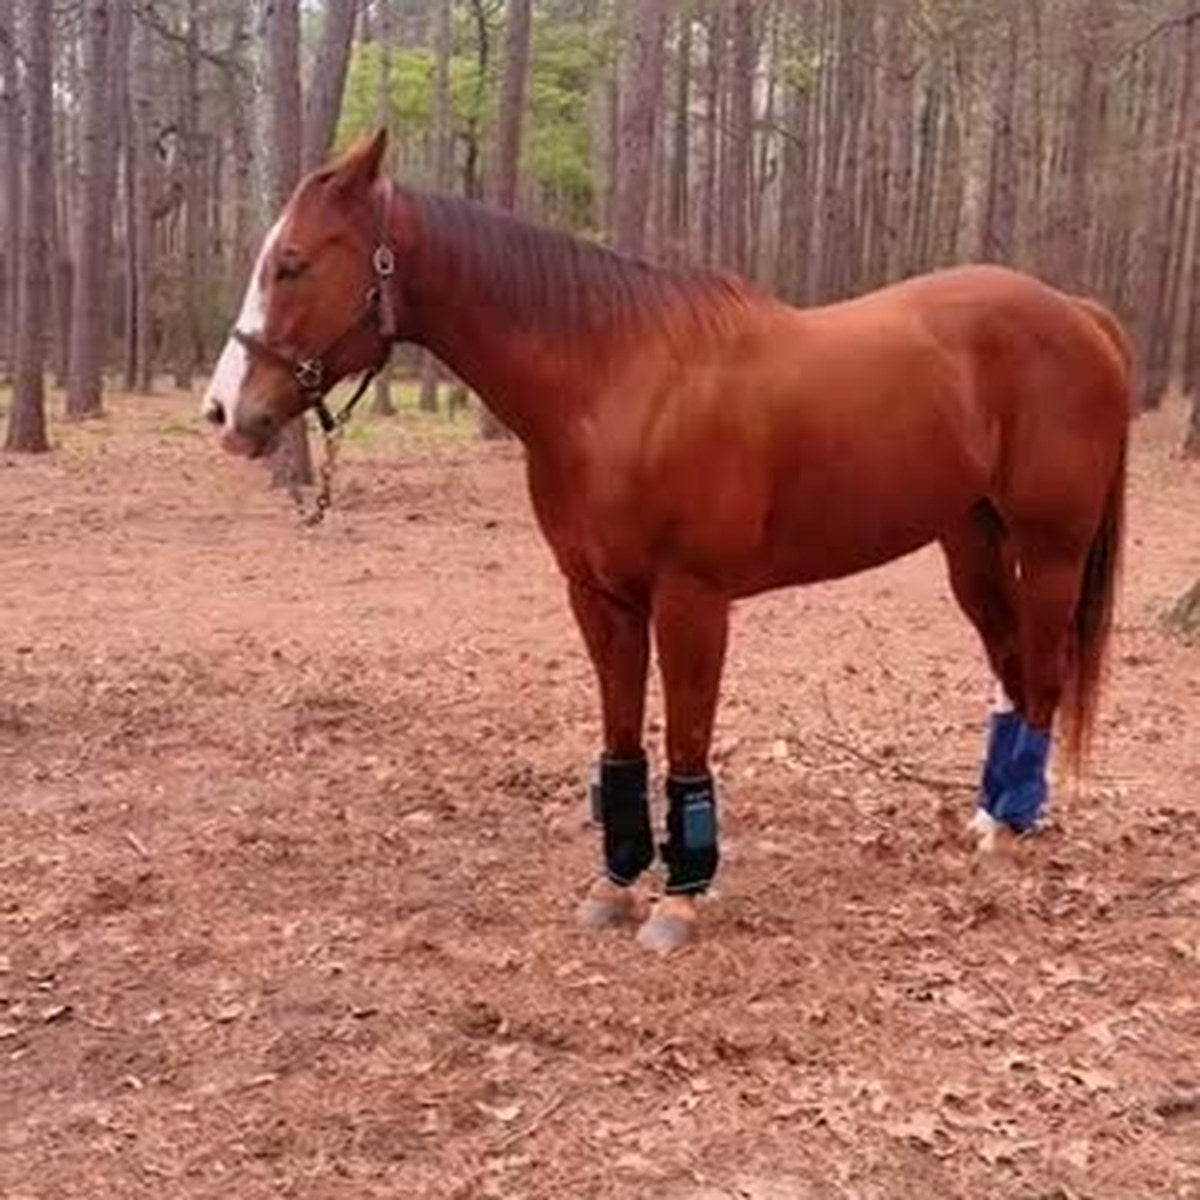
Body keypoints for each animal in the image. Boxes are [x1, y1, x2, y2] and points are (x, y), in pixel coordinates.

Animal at [201, 131, 1131, 952]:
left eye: (294, 263)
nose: (224, 413)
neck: (617, 382)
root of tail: (1078, 315)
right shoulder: (599, 596)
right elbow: (621, 740)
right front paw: (614, 886)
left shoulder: (692, 600)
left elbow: (685, 739)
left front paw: (680, 900)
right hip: (970, 544)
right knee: (1011, 671)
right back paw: (992, 817)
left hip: (1050, 548)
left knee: (1044, 676)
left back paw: (1008, 832)